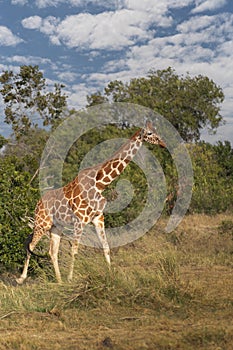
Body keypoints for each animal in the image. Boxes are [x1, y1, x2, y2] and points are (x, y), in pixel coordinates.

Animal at [16, 120, 166, 284]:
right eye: (149, 133)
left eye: (156, 130)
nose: (163, 143)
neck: (100, 184)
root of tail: (37, 204)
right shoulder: (80, 220)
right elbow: (74, 250)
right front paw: (71, 279)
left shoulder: (98, 218)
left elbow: (106, 246)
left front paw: (111, 275)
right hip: (42, 223)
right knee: (31, 245)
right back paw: (22, 278)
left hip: (55, 227)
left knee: (52, 251)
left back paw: (59, 281)